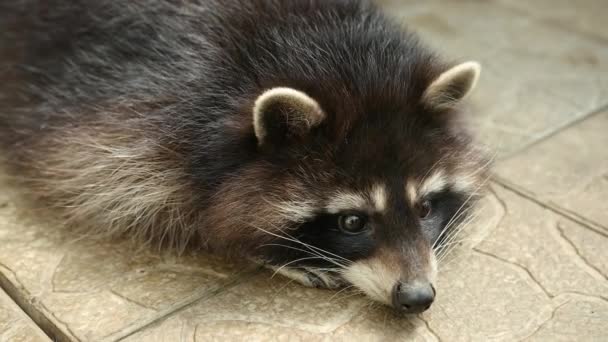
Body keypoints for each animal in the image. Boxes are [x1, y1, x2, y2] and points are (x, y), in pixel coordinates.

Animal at [0, 0, 490, 312]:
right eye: (352, 222)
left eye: (425, 207)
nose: (417, 298)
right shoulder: (128, 107)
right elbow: (137, 192)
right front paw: (265, 251)